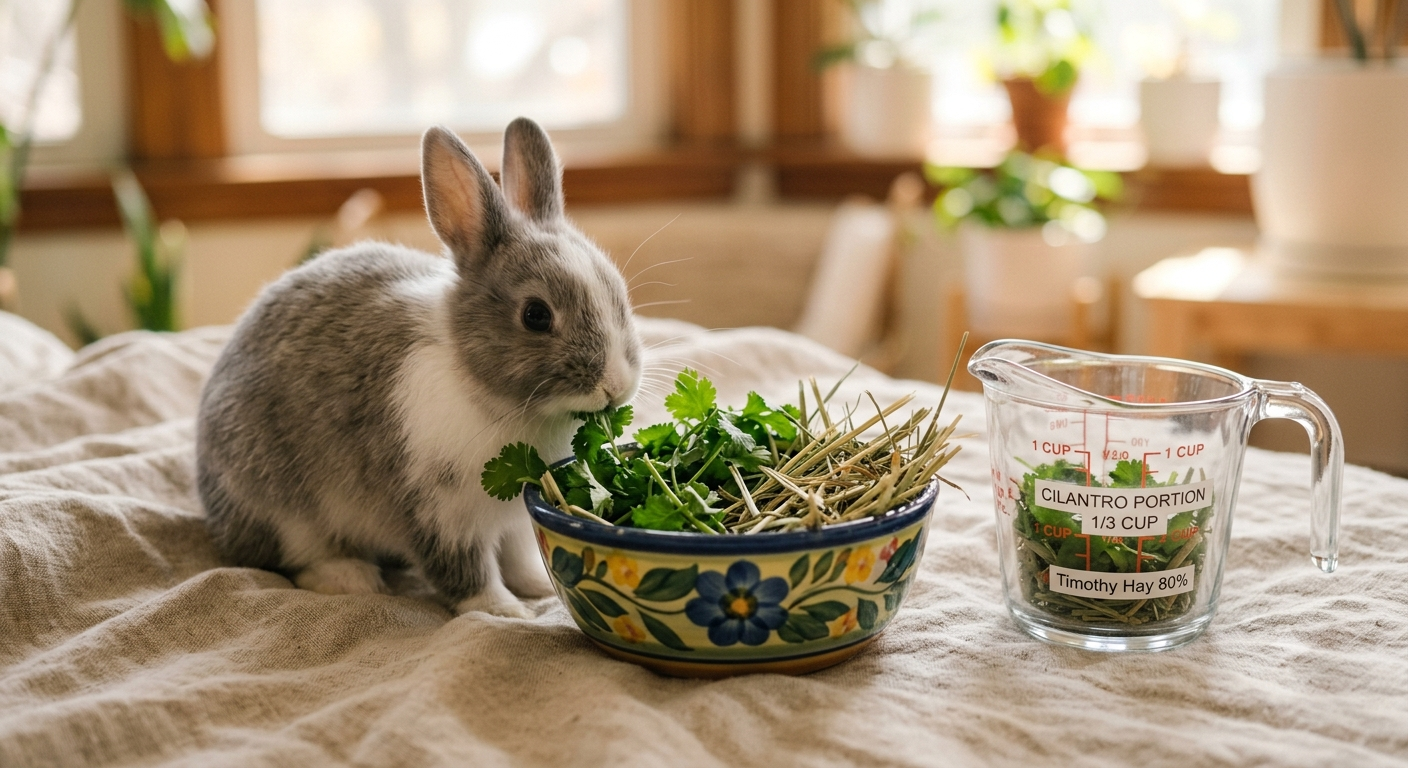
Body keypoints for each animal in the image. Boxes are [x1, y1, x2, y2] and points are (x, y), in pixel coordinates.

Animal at [196, 118, 642, 618]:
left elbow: (518, 556)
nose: (617, 386)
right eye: (536, 315)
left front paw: (537, 589)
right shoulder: (437, 511)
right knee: (290, 559)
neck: (478, 385)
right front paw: (504, 610)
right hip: (284, 512)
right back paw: (350, 578)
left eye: (617, 289)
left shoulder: (510, 521)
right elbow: (465, 570)